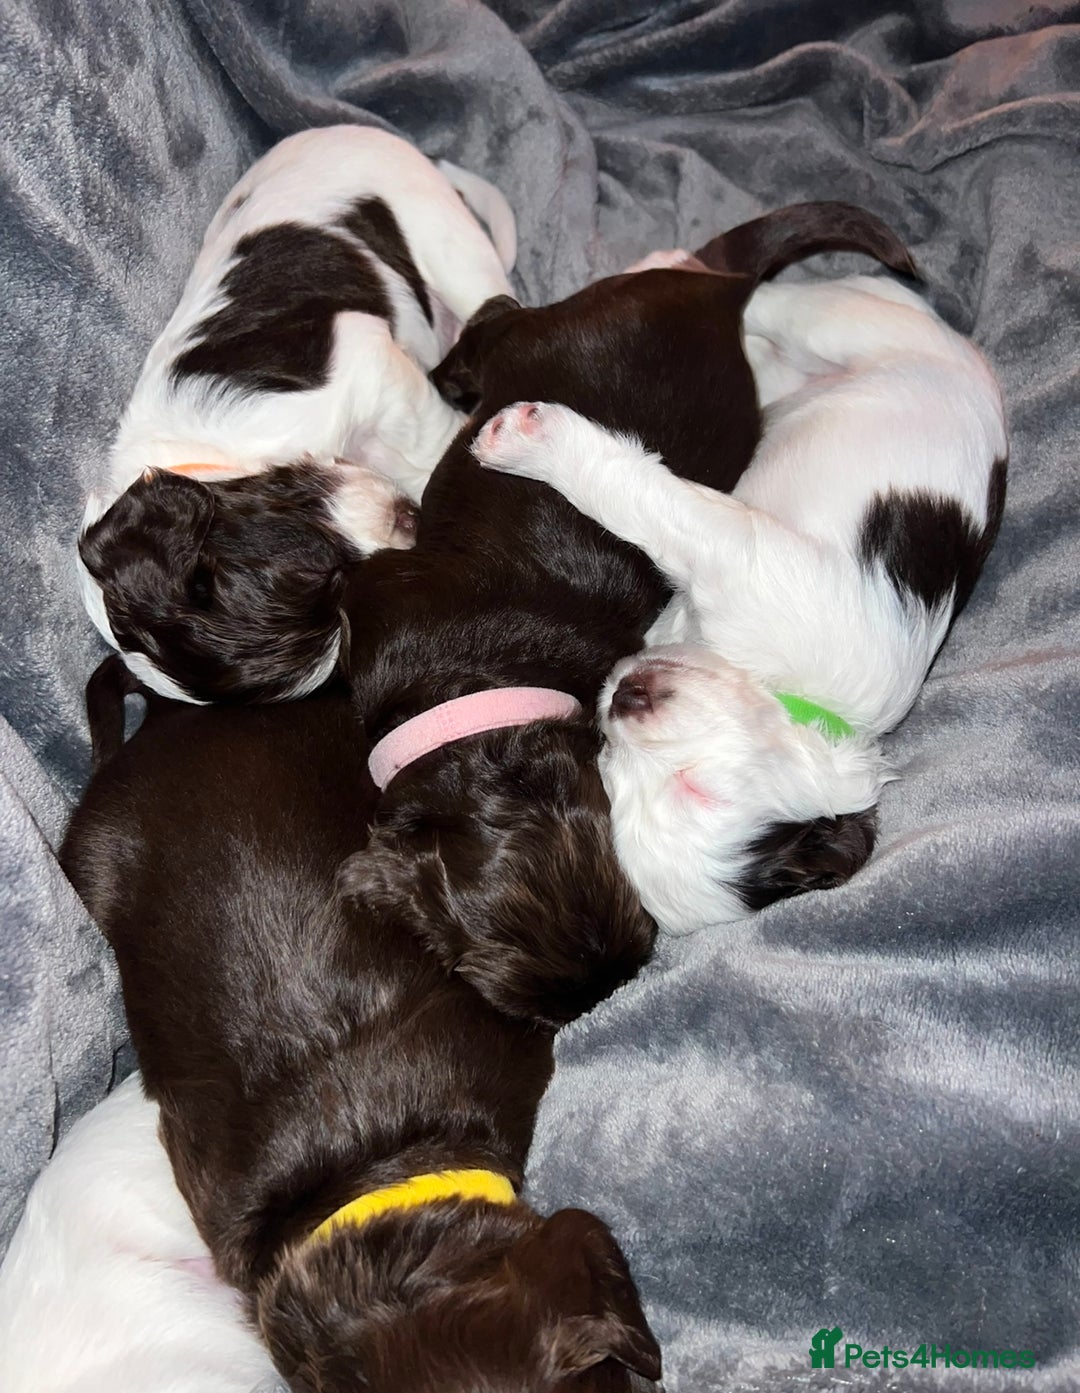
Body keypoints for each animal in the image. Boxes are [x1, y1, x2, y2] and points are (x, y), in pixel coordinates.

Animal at [77, 125, 516, 705]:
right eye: (342, 587)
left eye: (326, 574)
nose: (410, 522)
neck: (229, 460)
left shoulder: (363, 358)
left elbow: (425, 435)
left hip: (446, 242)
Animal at [471, 274, 1007, 933]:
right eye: (611, 765)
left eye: (697, 790)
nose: (625, 698)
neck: (779, 688)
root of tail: (966, 351)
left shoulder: (734, 550)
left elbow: (639, 497)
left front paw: (529, 440)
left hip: (850, 328)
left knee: (790, 299)